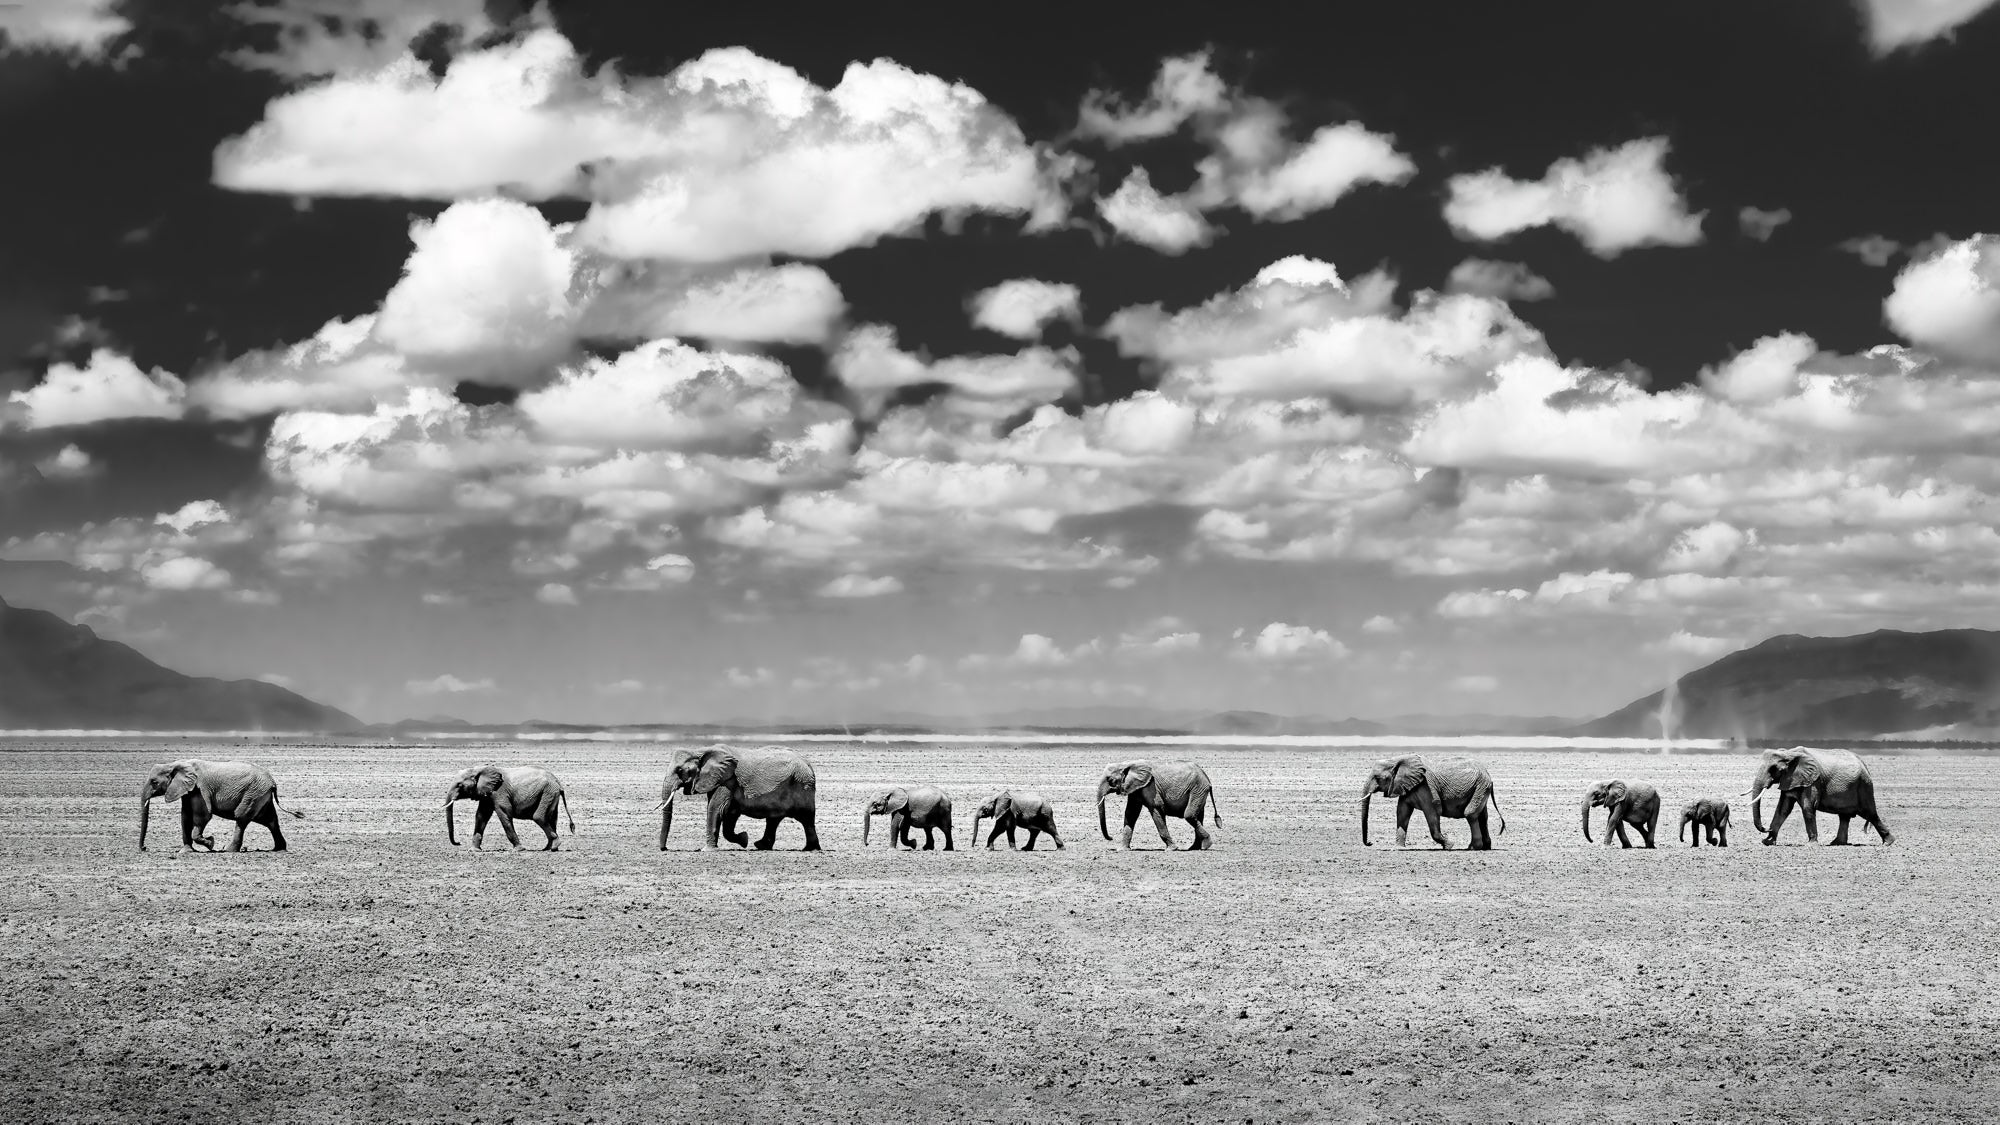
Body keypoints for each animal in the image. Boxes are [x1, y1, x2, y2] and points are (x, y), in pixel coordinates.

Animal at [138, 759, 302, 852]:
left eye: (154, 782)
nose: (144, 848)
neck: (175, 764)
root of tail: (273, 782)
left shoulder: (200, 789)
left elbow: (203, 816)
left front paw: (211, 843)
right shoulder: (187, 790)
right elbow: (185, 817)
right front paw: (186, 852)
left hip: (254, 793)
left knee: (241, 818)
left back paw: (229, 851)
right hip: (261, 795)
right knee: (270, 820)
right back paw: (279, 849)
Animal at [444, 764, 574, 851]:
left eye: (460, 785)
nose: (458, 843)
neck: (480, 769)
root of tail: (558, 782)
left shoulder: (499, 792)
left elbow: (504, 813)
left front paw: (519, 850)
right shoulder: (487, 794)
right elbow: (481, 816)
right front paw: (474, 851)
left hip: (548, 792)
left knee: (539, 817)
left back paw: (554, 846)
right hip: (550, 794)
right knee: (552, 818)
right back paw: (548, 848)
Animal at [660, 746, 820, 851]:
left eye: (680, 770)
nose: (665, 849)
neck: (700, 751)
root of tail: (808, 764)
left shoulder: (728, 780)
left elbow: (716, 808)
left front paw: (708, 850)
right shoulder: (717, 780)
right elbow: (729, 814)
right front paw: (744, 839)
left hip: (802, 785)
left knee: (806, 819)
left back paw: (810, 850)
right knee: (774, 819)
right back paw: (760, 846)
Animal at [1360, 755, 1505, 850]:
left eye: (1378, 778)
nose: (1370, 843)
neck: (1397, 759)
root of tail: (1489, 775)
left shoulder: (1426, 787)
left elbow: (1433, 811)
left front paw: (1449, 845)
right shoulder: (1405, 786)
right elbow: (1402, 812)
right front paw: (1399, 848)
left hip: (1480, 786)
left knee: (1470, 814)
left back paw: (1473, 847)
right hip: (1480, 788)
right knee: (1482, 816)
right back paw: (1485, 847)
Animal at [1746, 746, 1894, 846]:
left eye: (1774, 769)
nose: (1766, 828)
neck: (1789, 753)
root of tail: (1864, 764)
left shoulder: (1813, 781)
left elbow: (1807, 808)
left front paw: (1811, 844)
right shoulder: (1790, 780)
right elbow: (1783, 809)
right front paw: (1767, 842)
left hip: (1864, 786)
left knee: (1870, 814)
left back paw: (1888, 843)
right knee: (1844, 816)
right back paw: (1837, 843)